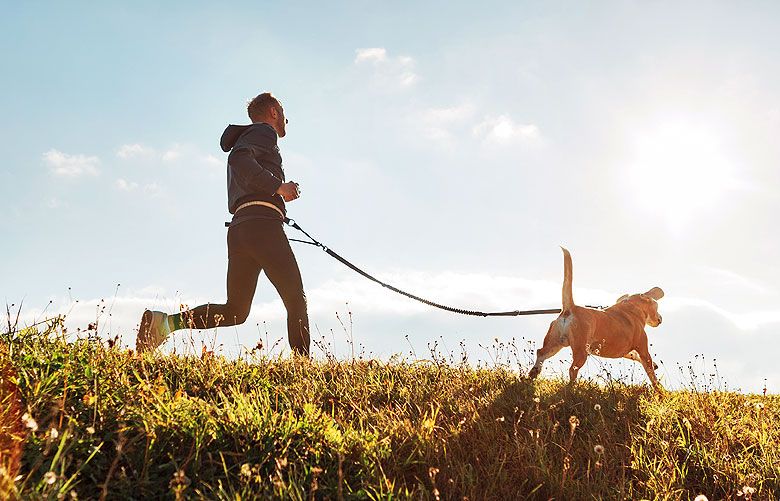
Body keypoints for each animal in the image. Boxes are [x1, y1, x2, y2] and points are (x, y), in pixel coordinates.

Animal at [524, 248, 664, 388]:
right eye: (656, 306)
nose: (660, 319)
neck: (631, 307)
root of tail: (571, 308)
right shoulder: (643, 350)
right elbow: (650, 371)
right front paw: (659, 389)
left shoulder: (627, 352)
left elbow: (636, 356)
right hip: (581, 351)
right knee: (572, 369)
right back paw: (572, 388)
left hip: (554, 343)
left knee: (540, 353)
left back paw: (533, 374)